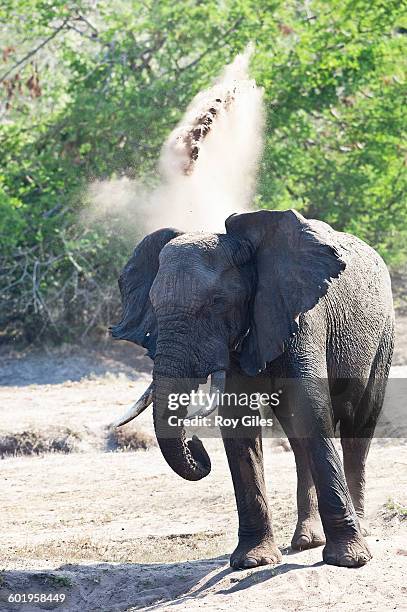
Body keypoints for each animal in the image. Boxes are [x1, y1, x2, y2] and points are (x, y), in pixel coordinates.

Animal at [111, 209, 396, 568]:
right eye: (153, 303)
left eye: (217, 302)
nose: (196, 445)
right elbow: (238, 420)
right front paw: (253, 561)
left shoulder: (300, 315)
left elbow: (311, 407)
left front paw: (349, 560)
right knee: (298, 438)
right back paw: (307, 540)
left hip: (384, 334)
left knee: (360, 421)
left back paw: (359, 527)